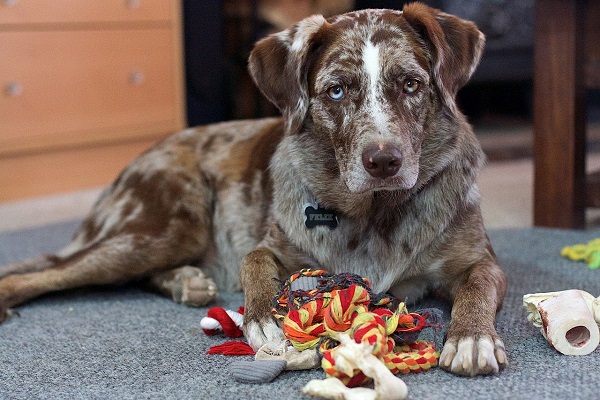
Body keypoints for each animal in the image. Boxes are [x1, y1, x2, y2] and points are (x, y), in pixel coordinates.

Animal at [0, 3, 506, 376]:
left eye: (411, 84)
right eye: (336, 91)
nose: (383, 161)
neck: (374, 211)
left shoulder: (480, 260)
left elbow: (478, 284)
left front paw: (471, 338)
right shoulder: (272, 246)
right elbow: (255, 264)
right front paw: (264, 319)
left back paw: (187, 281)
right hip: (163, 227)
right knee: (40, 274)